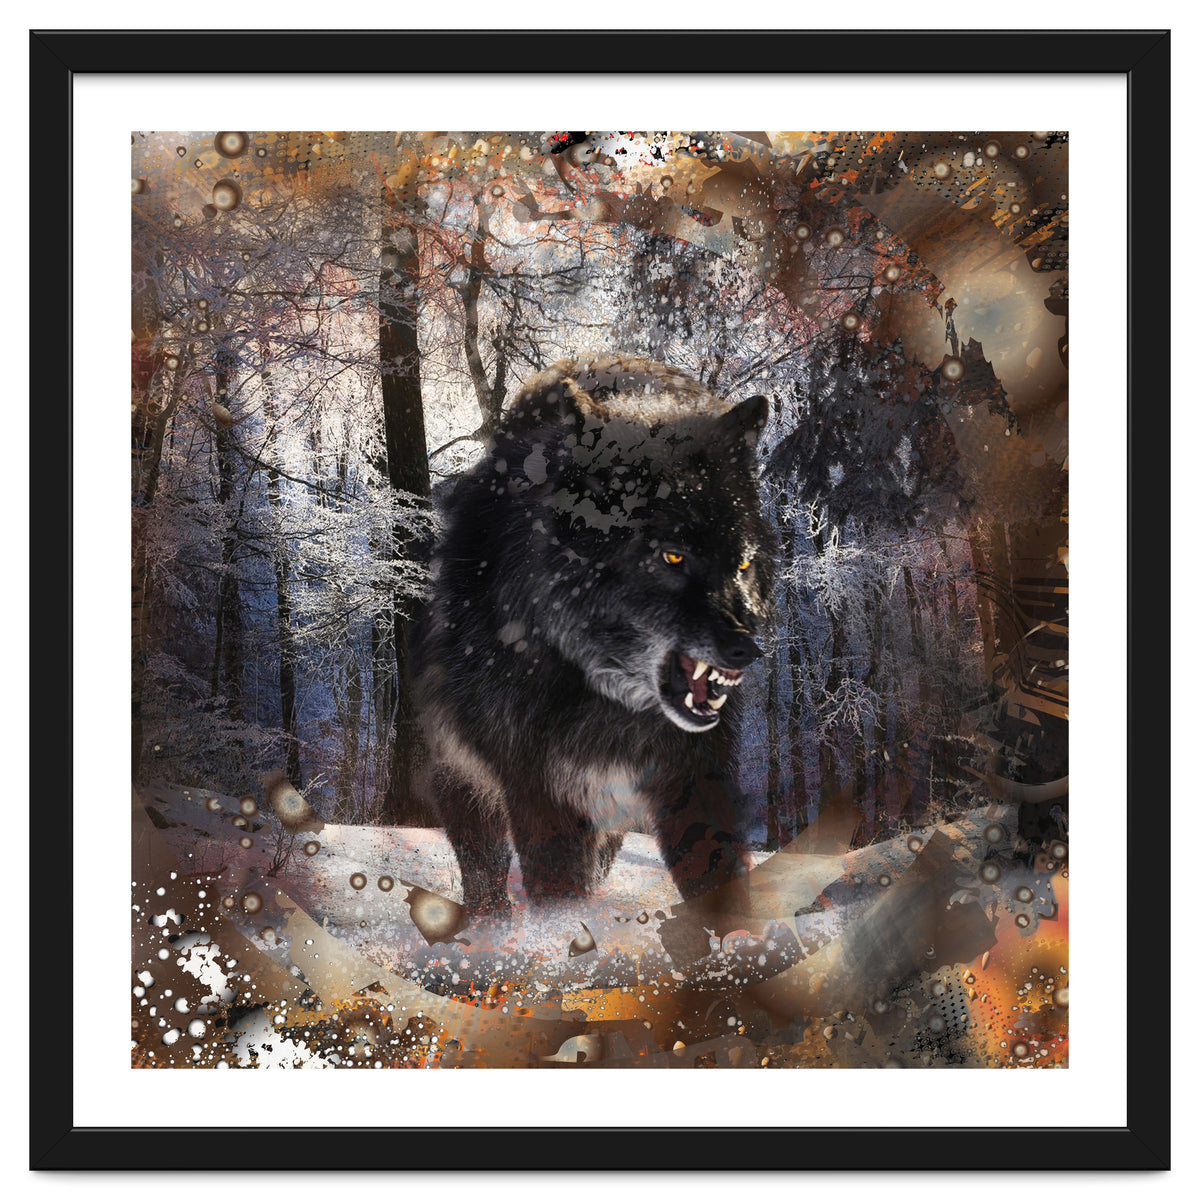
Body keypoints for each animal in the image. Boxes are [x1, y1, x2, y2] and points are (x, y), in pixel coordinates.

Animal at [410, 354, 776, 916]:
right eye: (673, 556)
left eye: (741, 564)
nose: (746, 650)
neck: (613, 702)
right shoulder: (541, 792)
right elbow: (557, 895)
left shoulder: (694, 779)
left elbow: (722, 887)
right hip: (466, 785)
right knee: (485, 876)